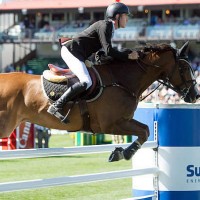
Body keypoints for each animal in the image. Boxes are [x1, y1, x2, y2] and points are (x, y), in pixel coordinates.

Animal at [0, 41, 199, 162]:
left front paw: (120, 152)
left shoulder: (124, 120)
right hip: (5, 126)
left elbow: (146, 130)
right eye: (184, 68)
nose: (195, 95)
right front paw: (124, 153)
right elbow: (144, 132)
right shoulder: (111, 124)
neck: (121, 80)